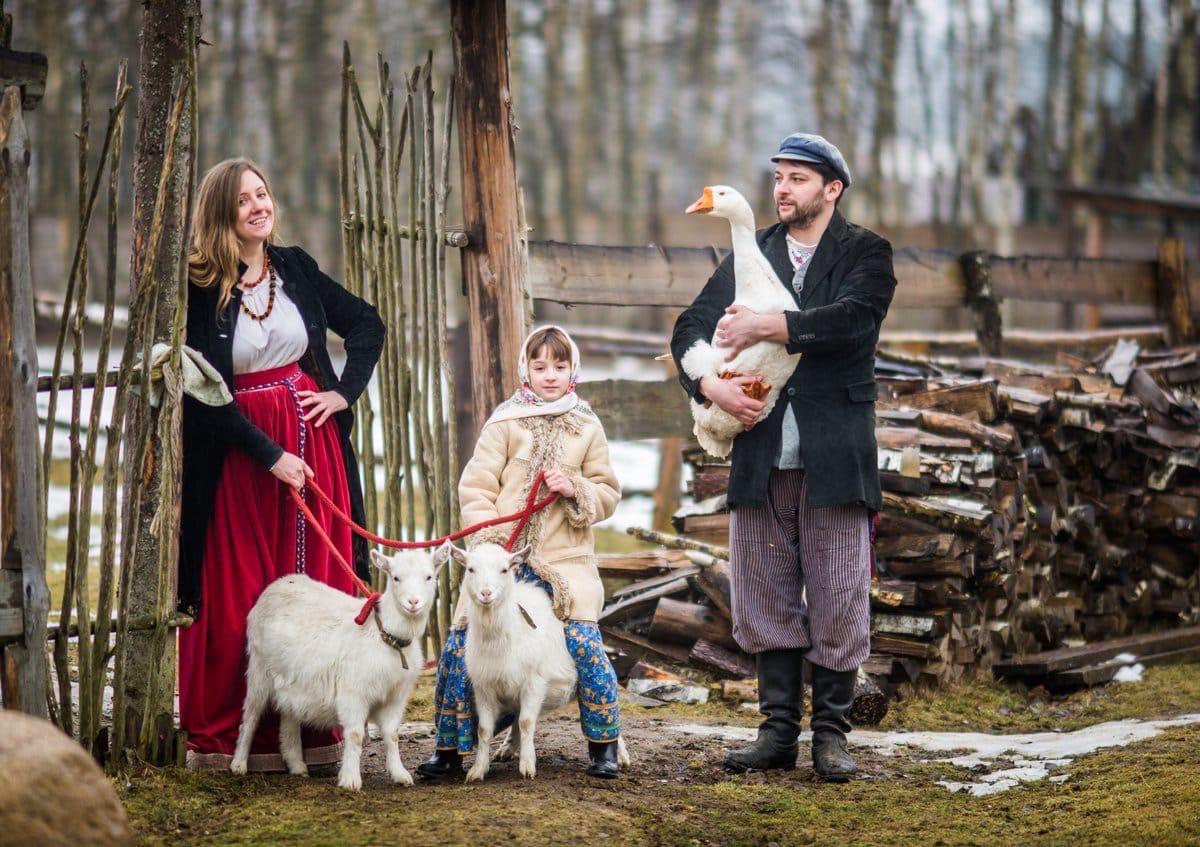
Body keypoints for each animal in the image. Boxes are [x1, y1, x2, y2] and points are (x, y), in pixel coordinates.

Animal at [231, 544, 444, 787]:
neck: (386, 636)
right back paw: (238, 764)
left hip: (293, 677)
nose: (413, 602)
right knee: (251, 716)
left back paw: (297, 765)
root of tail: (279, 584)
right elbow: (354, 735)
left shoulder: (395, 695)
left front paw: (400, 774)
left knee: (289, 716)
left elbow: (392, 734)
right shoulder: (353, 692)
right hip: (259, 669)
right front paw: (350, 779)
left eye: (429, 576)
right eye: (395, 577)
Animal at [441, 542, 628, 777]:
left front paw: (528, 766)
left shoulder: (534, 682)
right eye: (471, 569)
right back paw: (507, 748)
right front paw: (478, 770)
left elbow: (527, 722)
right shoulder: (483, 687)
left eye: (504, 570)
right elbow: (485, 729)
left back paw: (617, 757)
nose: (486, 593)